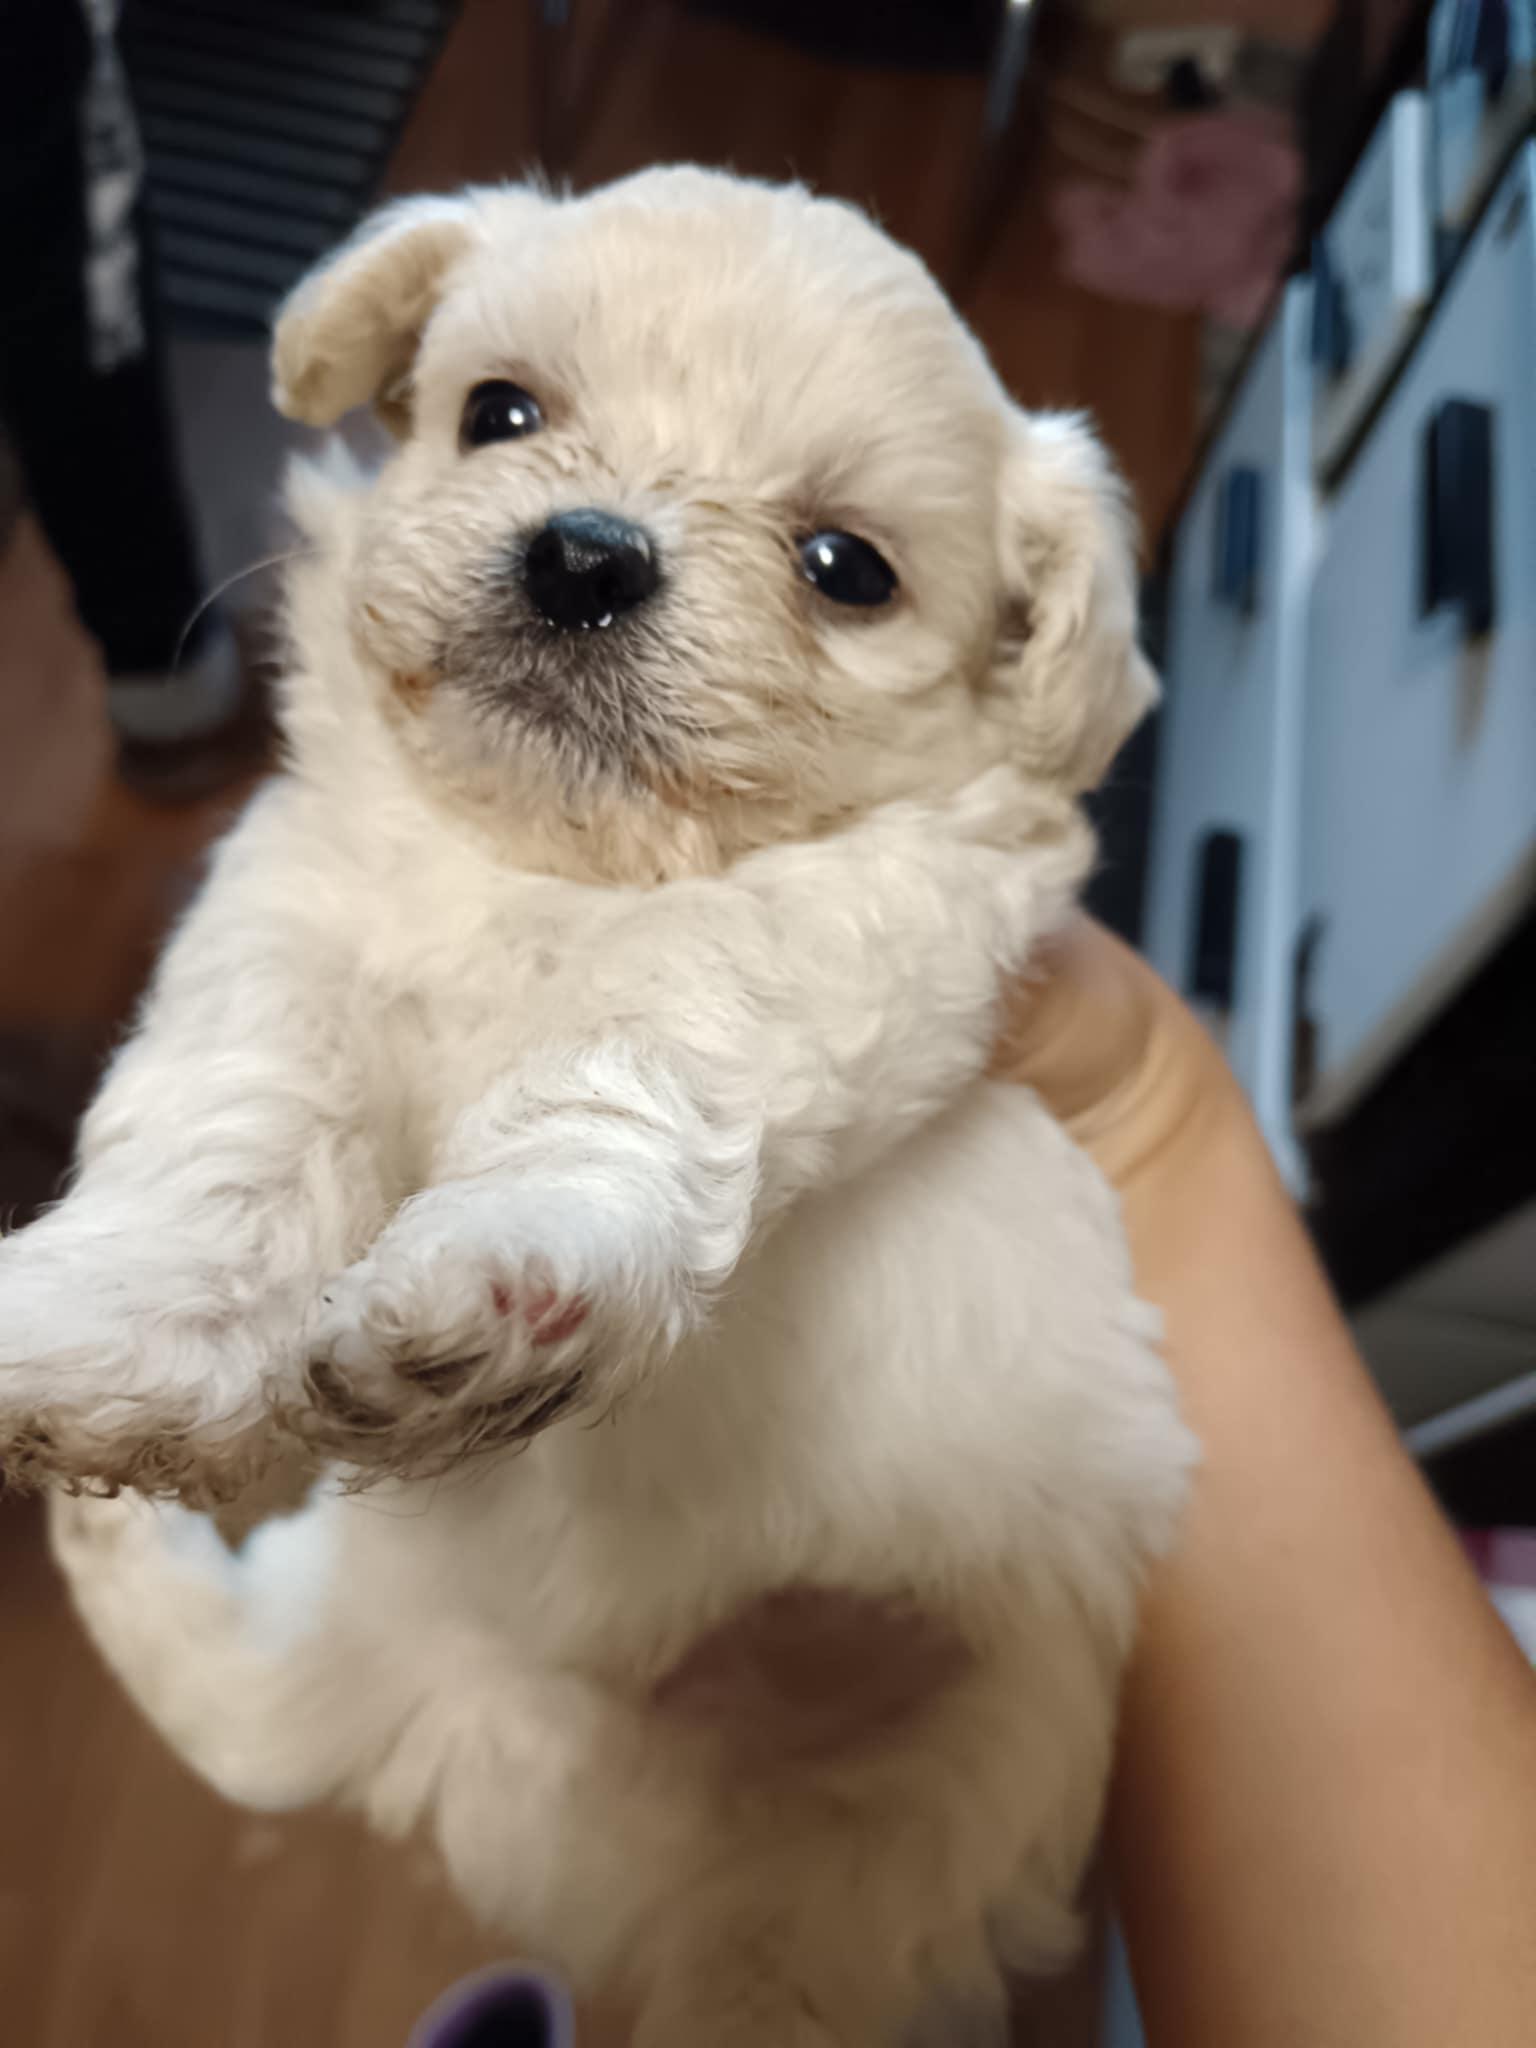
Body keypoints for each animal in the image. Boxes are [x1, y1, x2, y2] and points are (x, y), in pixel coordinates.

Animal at [1, 168, 1193, 2044]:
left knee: (270, 1727)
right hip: (396, 1626)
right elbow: (238, 1113)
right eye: (499, 412)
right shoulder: (287, 921)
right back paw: (102, 1522)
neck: (548, 870)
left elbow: (641, 1043)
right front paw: (119, 1333)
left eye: (846, 569)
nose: (586, 549)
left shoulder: (854, 930)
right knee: (258, 1714)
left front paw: (510, 1279)